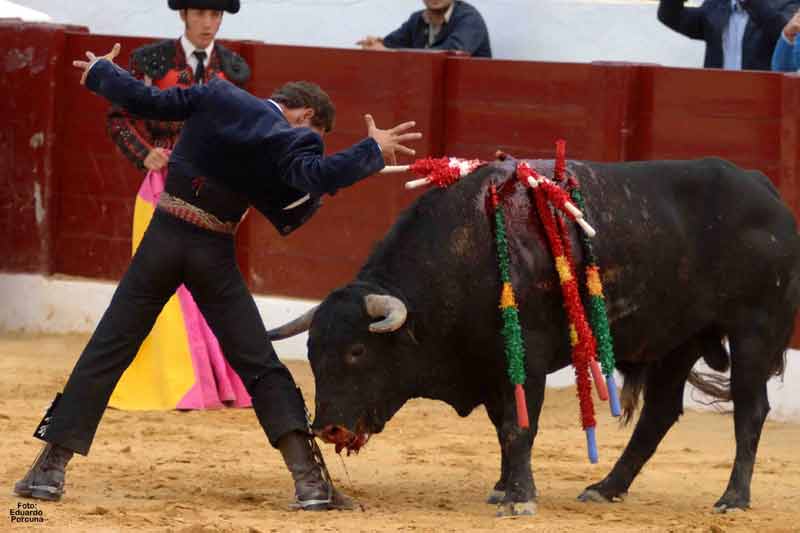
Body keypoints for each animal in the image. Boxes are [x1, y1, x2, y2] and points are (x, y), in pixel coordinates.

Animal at [268, 157, 800, 516]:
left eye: (358, 351)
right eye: (312, 353)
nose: (328, 427)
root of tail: (764, 189)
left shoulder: (527, 356)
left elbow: (518, 427)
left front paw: (520, 499)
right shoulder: (489, 366)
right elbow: (503, 428)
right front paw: (505, 488)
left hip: (753, 331)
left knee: (750, 411)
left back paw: (733, 498)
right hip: (676, 341)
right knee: (660, 414)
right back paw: (606, 488)